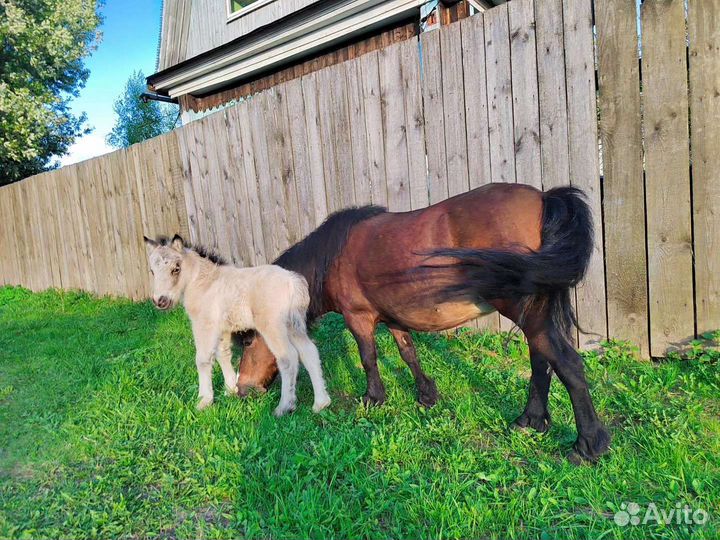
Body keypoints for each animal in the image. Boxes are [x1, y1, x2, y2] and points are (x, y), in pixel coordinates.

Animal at [144, 234, 331, 416]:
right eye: (152, 271)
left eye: (176, 268)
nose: (160, 301)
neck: (203, 282)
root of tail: (292, 281)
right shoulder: (223, 328)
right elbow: (223, 354)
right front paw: (230, 390)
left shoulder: (204, 324)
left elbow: (202, 359)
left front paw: (203, 401)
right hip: (293, 325)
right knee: (309, 352)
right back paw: (321, 403)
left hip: (272, 326)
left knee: (288, 357)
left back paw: (284, 407)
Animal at [235, 183, 611, 462]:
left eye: (250, 339)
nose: (242, 389)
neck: (333, 255)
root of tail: (544, 198)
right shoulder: (393, 317)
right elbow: (408, 354)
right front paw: (427, 395)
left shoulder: (359, 317)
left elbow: (368, 358)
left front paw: (373, 398)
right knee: (541, 363)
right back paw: (530, 421)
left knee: (567, 363)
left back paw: (588, 444)